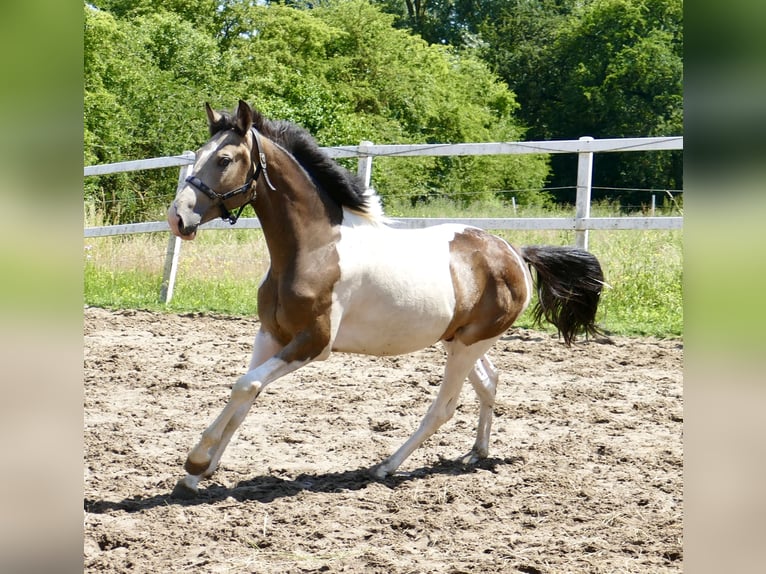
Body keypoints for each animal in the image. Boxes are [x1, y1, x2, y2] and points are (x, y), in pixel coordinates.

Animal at [166, 100, 604, 498]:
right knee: (489, 382)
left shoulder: (313, 344)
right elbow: (246, 394)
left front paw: (196, 463)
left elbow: (245, 386)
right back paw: (475, 453)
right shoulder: (271, 335)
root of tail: (514, 251)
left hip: (469, 343)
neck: (314, 249)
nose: (177, 218)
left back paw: (385, 467)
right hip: (461, 340)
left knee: (444, 407)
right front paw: (196, 476)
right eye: (198, 155)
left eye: (224, 159)